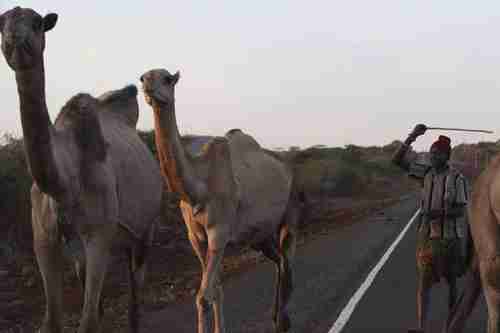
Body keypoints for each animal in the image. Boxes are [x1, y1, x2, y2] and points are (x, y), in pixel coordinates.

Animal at [0, 7, 162, 332]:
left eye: (37, 23)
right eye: (1, 23)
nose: (15, 41)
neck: (64, 181)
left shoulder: (98, 234)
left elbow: (87, 321)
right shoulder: (44, 239)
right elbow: (52, 320)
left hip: (144, 230)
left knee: (135, 290)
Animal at [139, 68, 300, 330]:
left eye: (167, 79)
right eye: (142, 78)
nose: (148, 87)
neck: (198, 187)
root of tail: (290, 170)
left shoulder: (219, 232)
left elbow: (204, 296)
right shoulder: (195, 238)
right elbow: (215, 290)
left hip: (290, 215)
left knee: (287, 260)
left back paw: (282, 322)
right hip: (260, 235)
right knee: (279, 261)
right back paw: (276, 317)